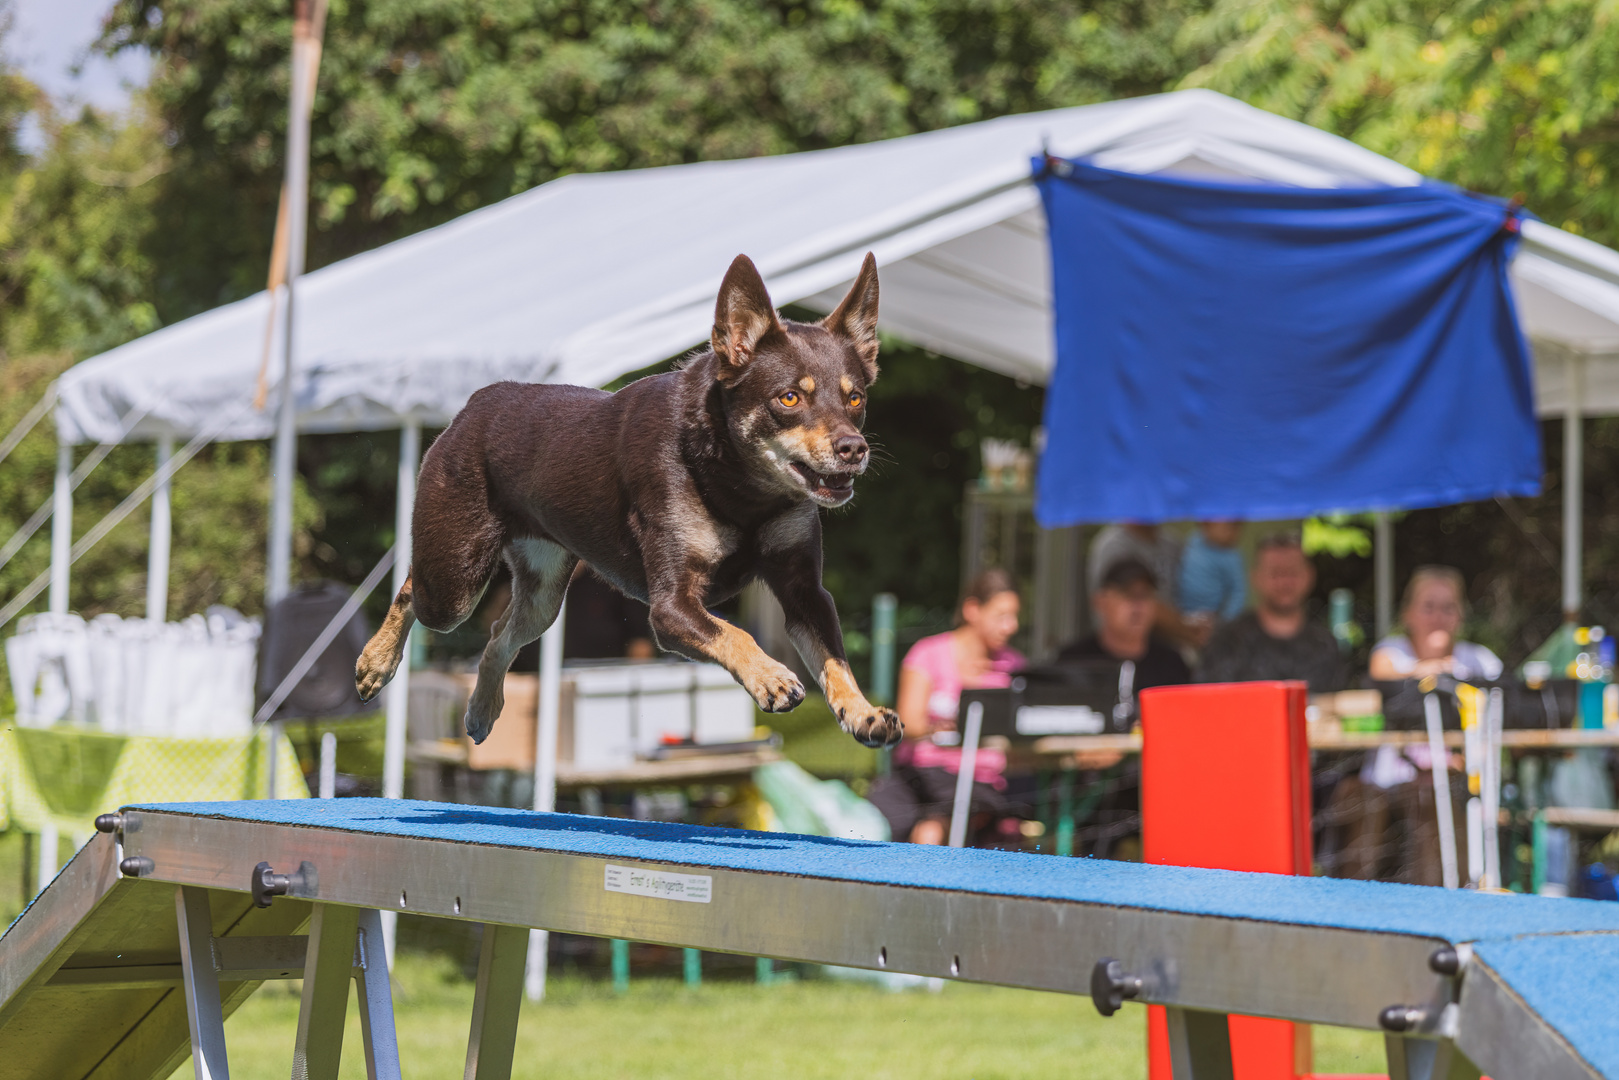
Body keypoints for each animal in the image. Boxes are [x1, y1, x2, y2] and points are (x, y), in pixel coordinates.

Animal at [356, 250, 906, 751]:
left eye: (855, 398)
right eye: (789, 398)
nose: (853, 448)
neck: (742, 490)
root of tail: (474, 404)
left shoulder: (803, 590)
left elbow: (833, 657)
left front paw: (862, 712)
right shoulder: (671, 608)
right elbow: (736, 634)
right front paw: (770, 676)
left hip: (542, 594)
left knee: (497, 636)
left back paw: (481, 710)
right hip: (455, 580)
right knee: (411, 590)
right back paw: (375, 664)